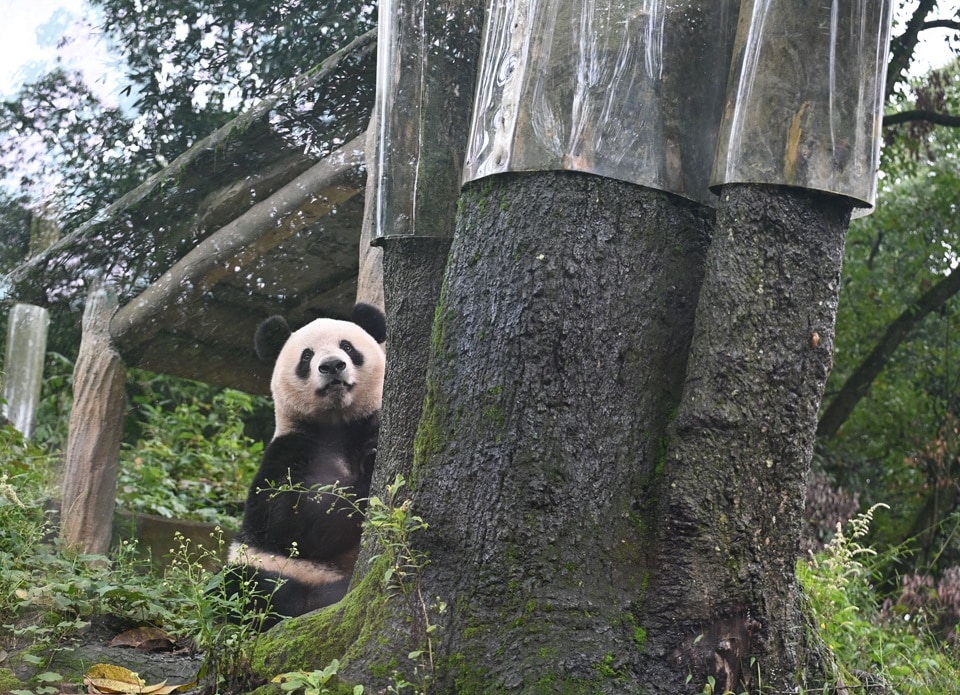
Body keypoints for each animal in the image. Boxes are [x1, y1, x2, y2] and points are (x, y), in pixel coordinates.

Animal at [224, 302, 386, 628]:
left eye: (347, 346)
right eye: (307, 355)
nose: (333, 366)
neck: (337, 424)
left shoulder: (369, 422)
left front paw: (371, 455)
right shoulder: (289, 451)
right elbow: (292, 520)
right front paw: (366, 472)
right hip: (265, 566)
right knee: (252, 587)